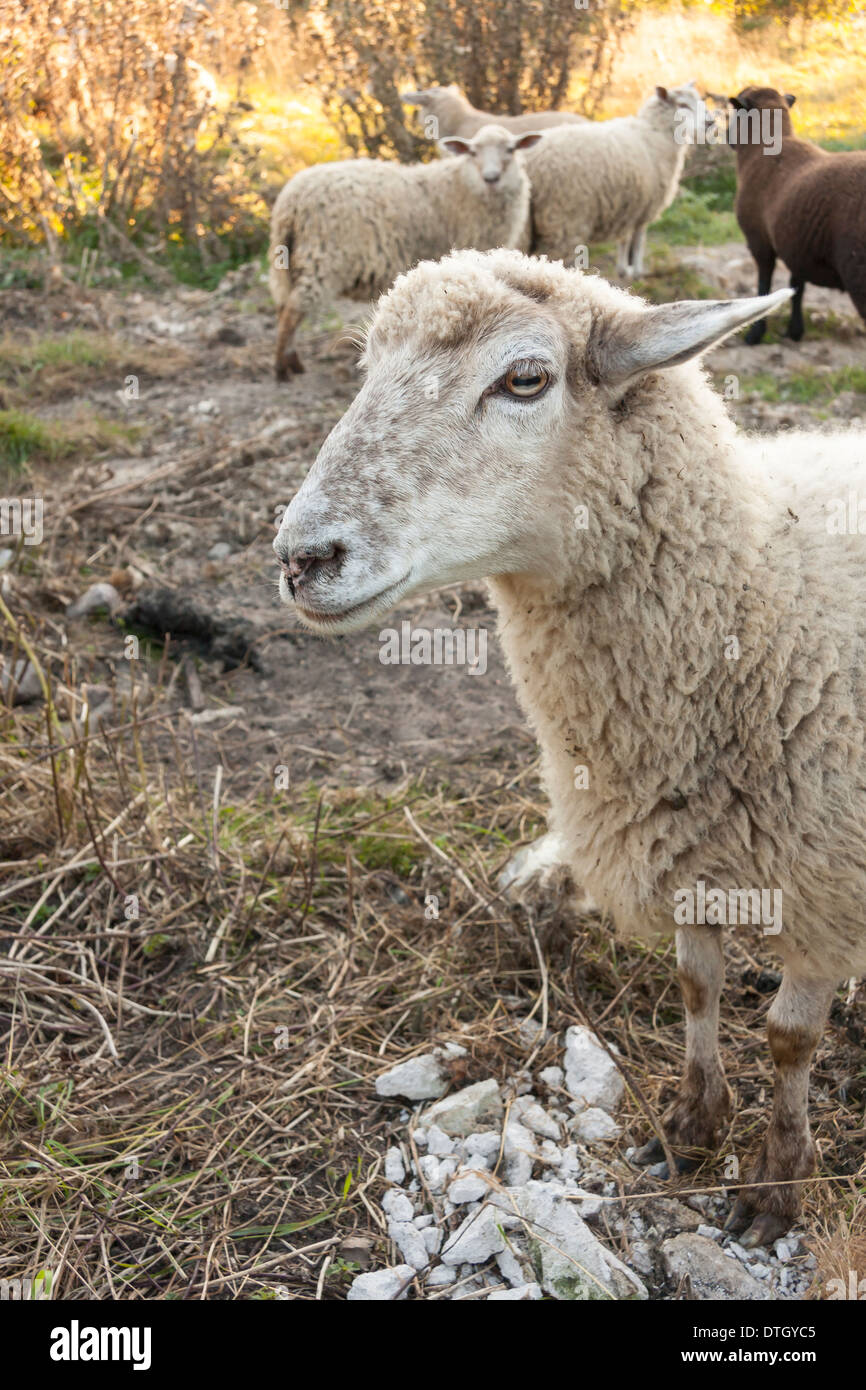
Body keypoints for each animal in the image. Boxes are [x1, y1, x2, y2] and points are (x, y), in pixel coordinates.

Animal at [269, 121, 542, 375]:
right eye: (473, 152)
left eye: (510, 150)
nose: (491, 178)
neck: (465, 186)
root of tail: (291, 200)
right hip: (323, 258)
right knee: (292, 311)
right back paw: (284, 367)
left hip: (294, 262)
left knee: (283, 307)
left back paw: (290, 361)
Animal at [273, 247, 866, 1251]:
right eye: (367, 366)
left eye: (525, 379)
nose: (302, 558)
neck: (760, 602)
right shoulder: (681, 841)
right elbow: (696, 983)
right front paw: (690, 1128)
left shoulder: (827, 883)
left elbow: (789, 1040)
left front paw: (775, 1184)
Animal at [728, 85, 866, 343]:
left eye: (734, 112)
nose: (728, 139)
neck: (762, 150)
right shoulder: (796, 243)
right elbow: (796, 287)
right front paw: (795, 331)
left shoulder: (759, 240)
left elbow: (764, 285)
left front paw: (755, 334)